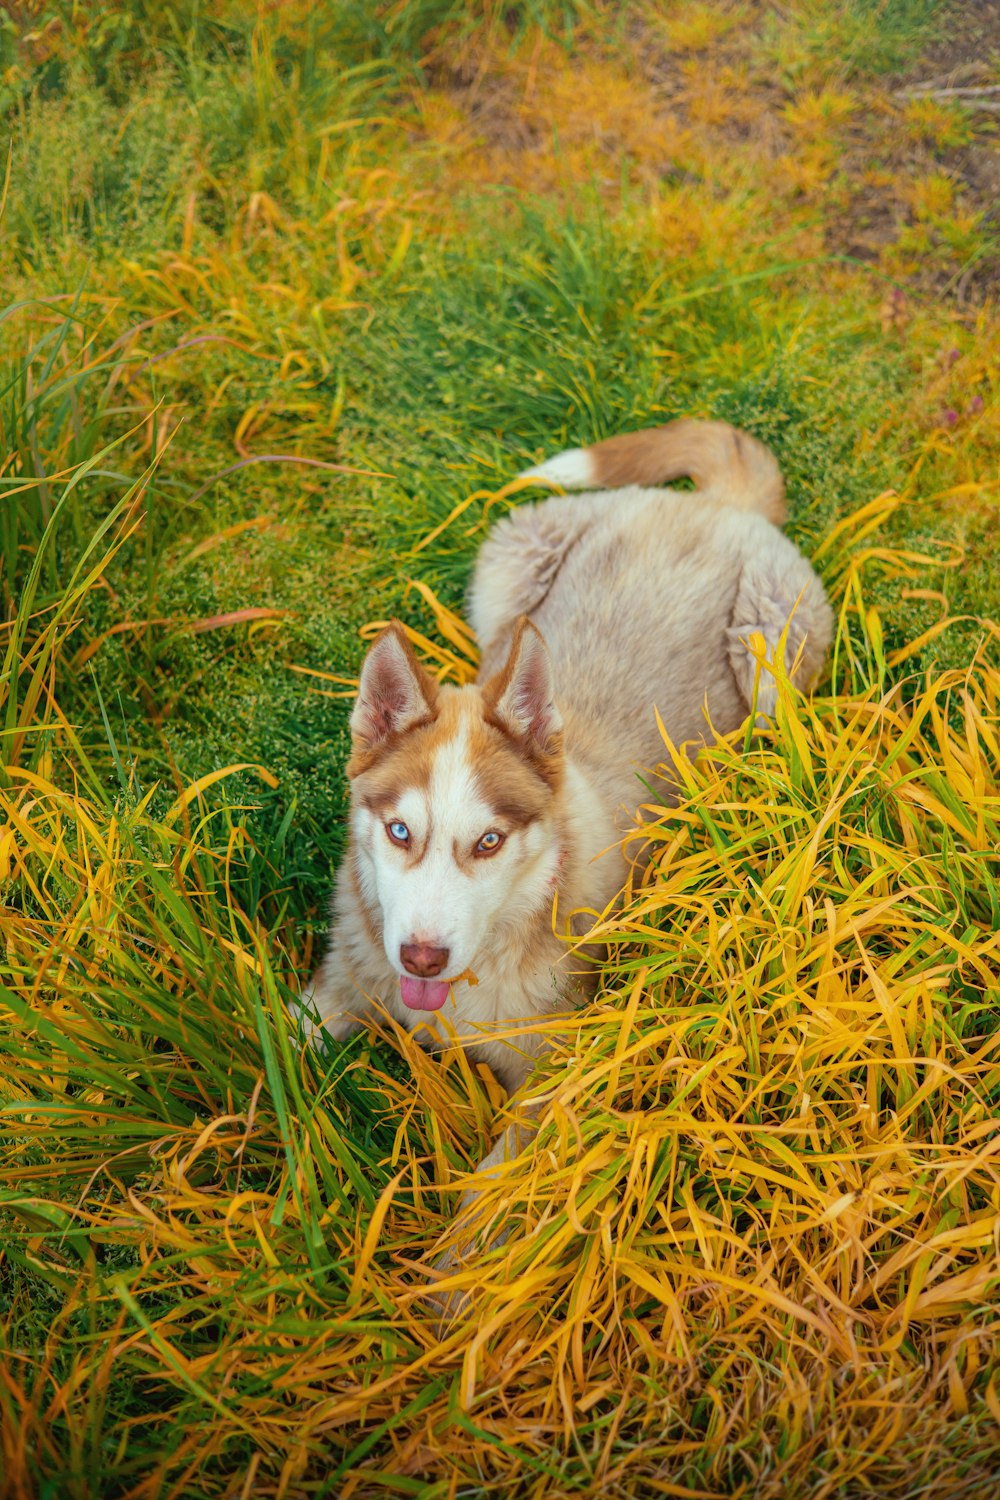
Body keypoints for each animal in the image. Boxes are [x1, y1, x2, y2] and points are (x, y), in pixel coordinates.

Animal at [301, 414, 833, 1254]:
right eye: (398, 830)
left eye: (489, 841)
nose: (421, 956)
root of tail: (713, 506)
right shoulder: (342, 986)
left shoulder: (554, 1075)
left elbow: (481, 1216)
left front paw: (435, 1284)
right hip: (507, 563)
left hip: (772, 663)